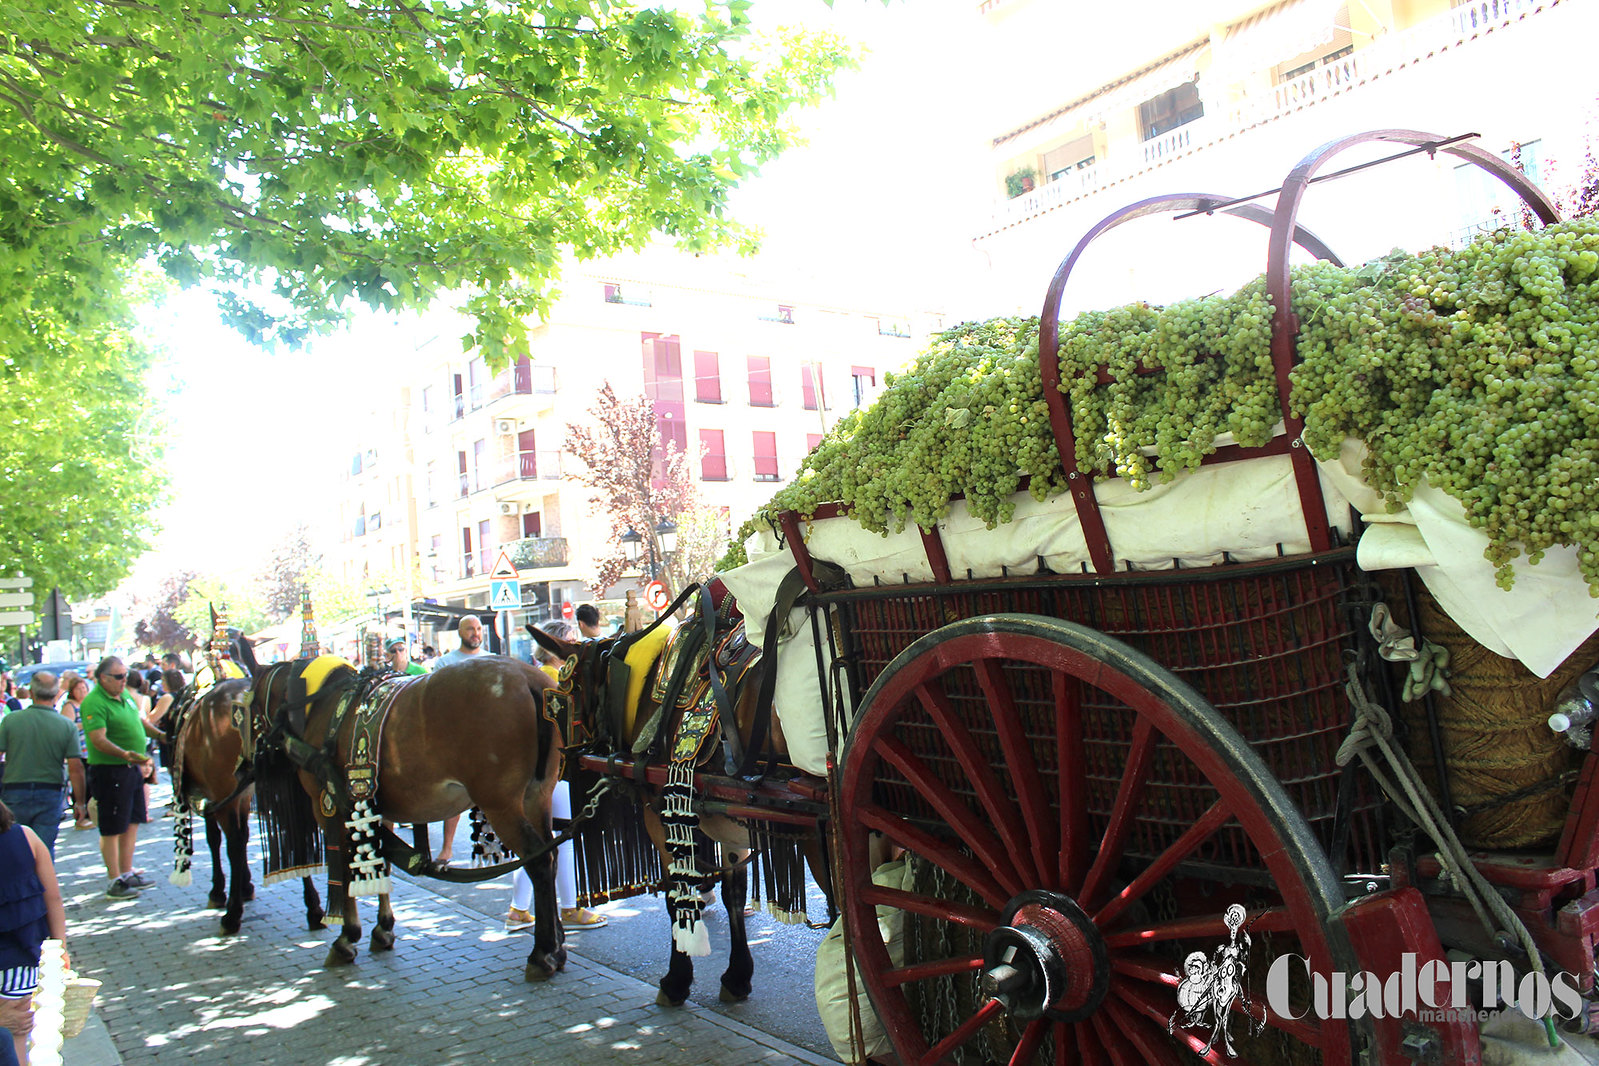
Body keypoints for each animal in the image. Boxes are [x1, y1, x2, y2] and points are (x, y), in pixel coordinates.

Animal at [246, 655, 572, 978]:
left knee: (539, 860)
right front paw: (383, 928)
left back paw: (543, 951)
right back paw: (557, 944)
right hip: (537, 797)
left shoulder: (327, 806)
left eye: (247, 707)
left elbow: (344, 869)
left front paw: (346, 937)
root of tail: (528, 678)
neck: (318, 707)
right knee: (551, 855)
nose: (249, 760)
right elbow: (381, 861)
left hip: (501, 805)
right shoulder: (375, 806)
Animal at [530, 600, 831, 1010]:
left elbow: (678, 895)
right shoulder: (728, 825)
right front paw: (737, 975)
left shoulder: (658, 816)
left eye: (561, 697)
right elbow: (733, 891)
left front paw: (676, 978)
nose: (562, 761)